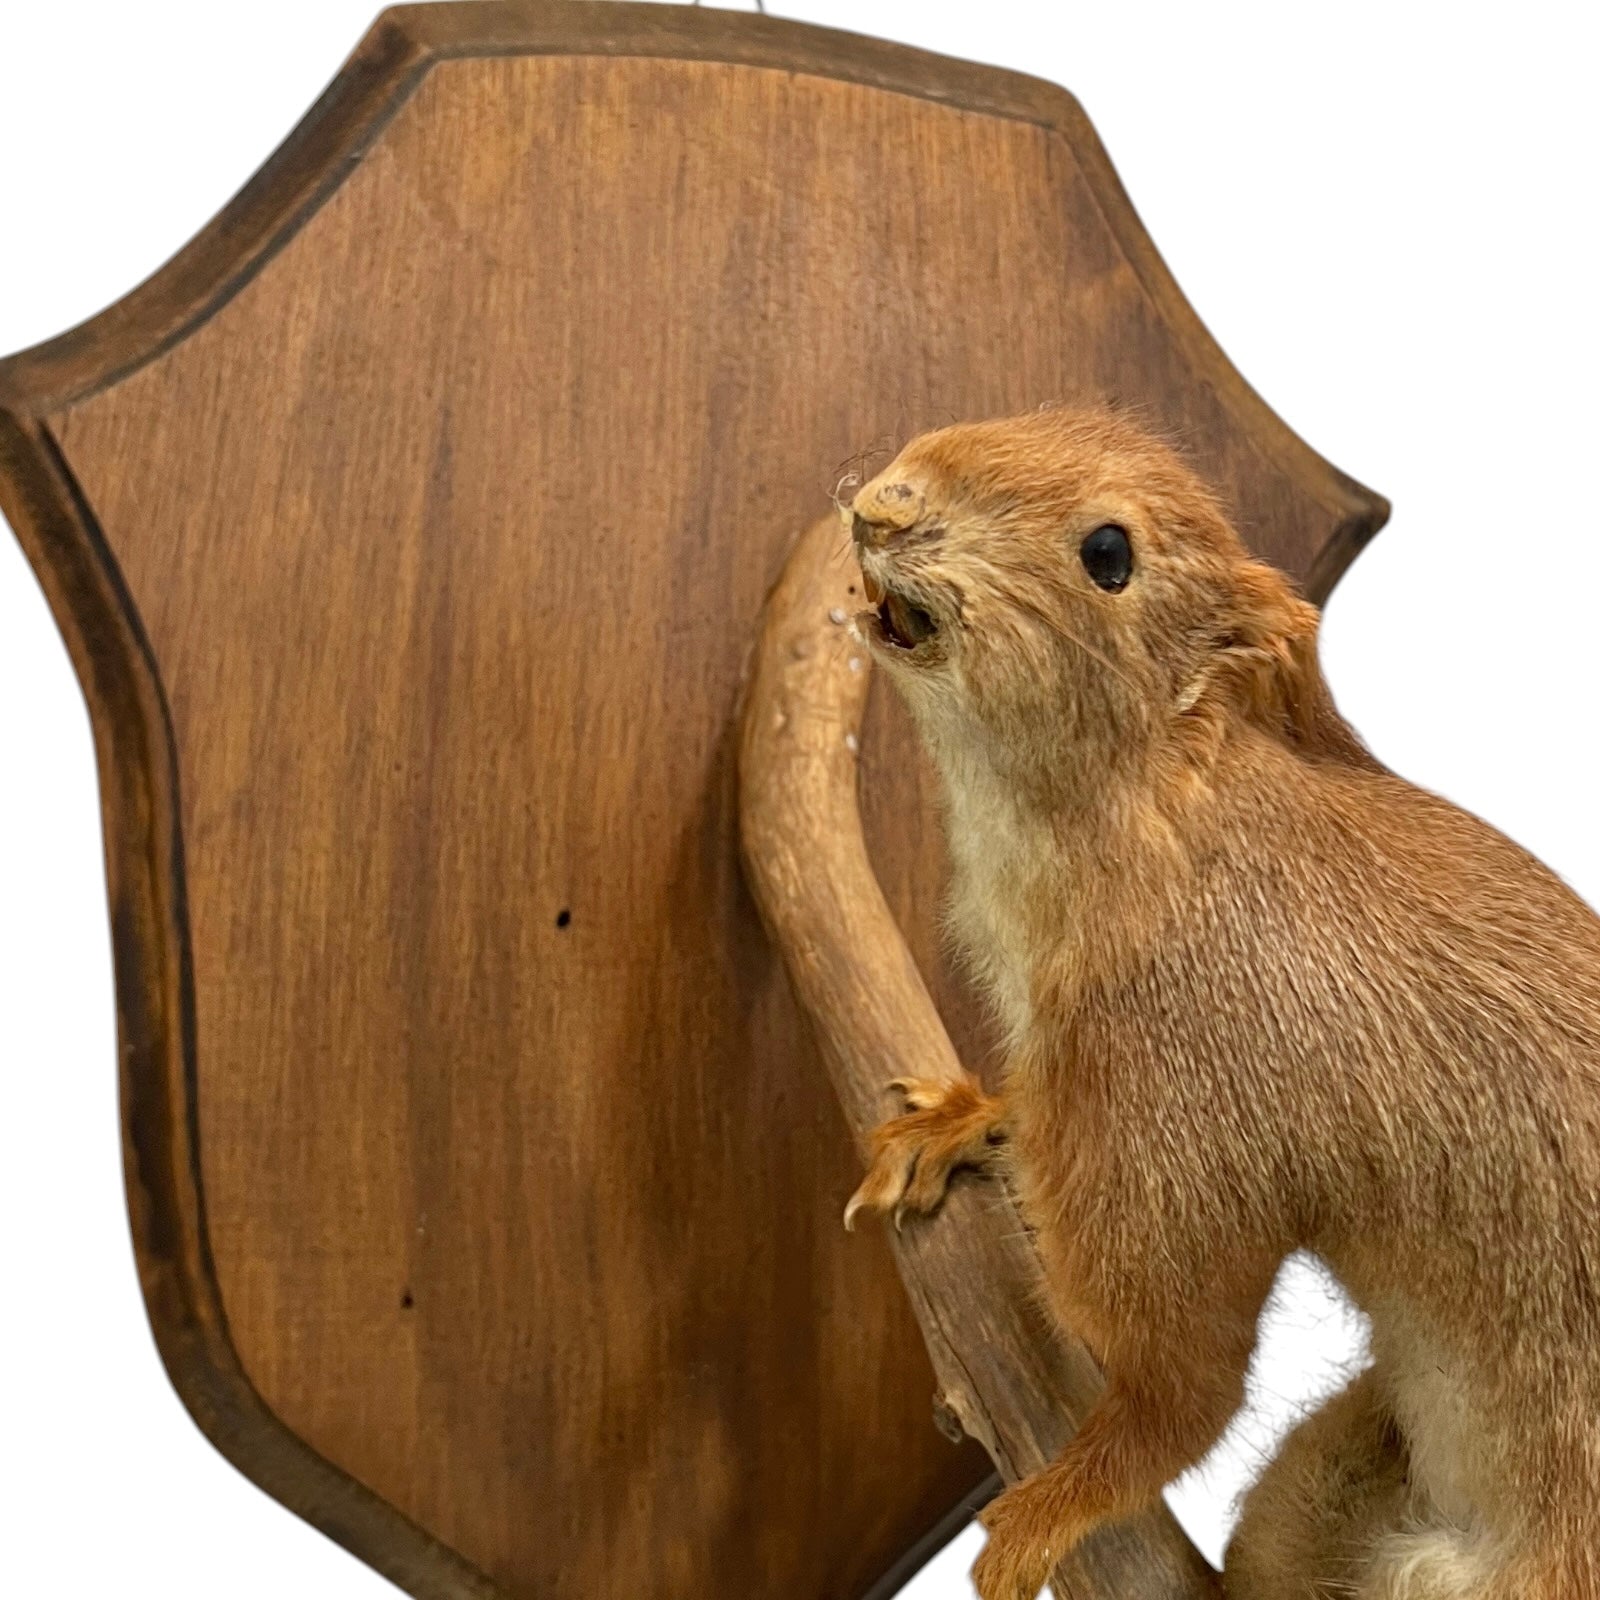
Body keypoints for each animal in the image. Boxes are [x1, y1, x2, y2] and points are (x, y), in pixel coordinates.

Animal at [843, 408, 1600, 1600]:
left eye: (1109, 552)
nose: (884, 502)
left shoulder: (1180, 1104)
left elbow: (1185, 1388)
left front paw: (1049, 1511)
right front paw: (961, 1118)